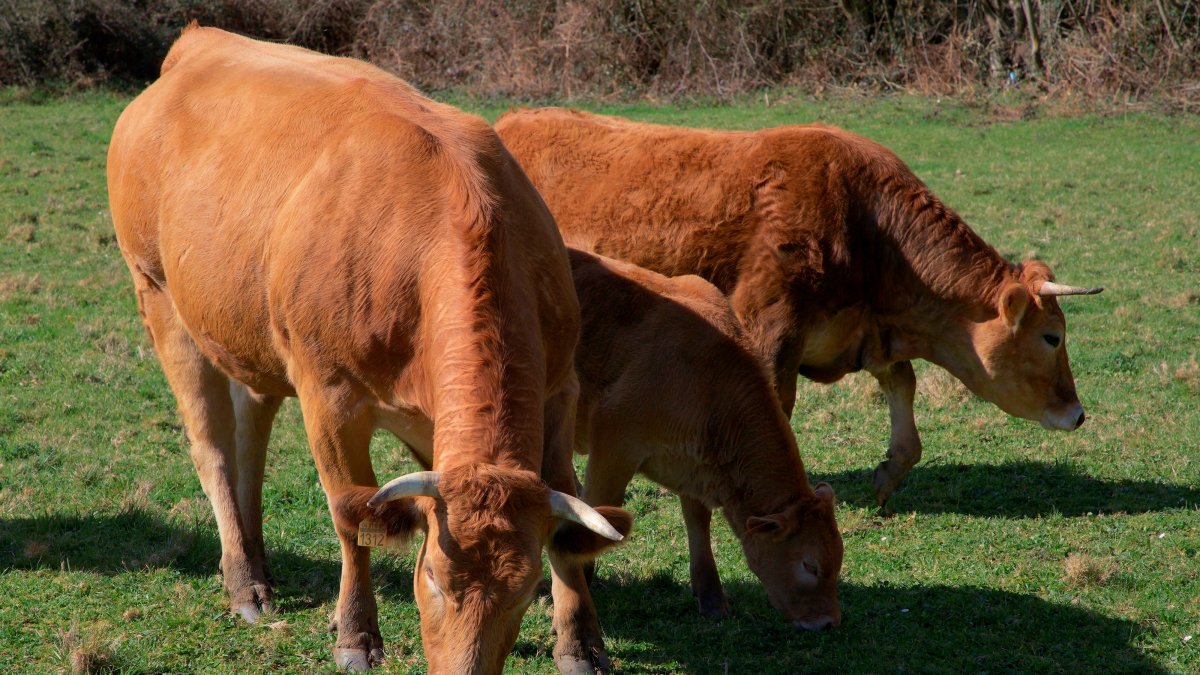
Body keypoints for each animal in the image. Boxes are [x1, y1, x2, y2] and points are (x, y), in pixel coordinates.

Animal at [107, 27, 631, 674]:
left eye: (522, 587)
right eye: (430, 578)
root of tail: (201, 41)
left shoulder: (558, 390)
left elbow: (568, 515)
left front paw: (580, 641)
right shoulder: (330, 396)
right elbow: (348, 514)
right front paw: (355, 632)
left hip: (247, 330)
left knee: (251, 434)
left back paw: (259, 565)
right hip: (159, 296)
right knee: (213, 449)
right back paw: (242, 581)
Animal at [496, 108, 1102, 506]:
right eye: (1052, 337)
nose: (1077, 413)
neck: (871, 226)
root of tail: (512, 121)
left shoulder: (864, 331)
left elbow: (902, 386)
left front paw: (888, 473)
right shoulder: (770, 327)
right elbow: (777, 405)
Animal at [569, 249, 843, 628]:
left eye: (839, 560)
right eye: (810, 565)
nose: (830, 621)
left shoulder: (693, 463)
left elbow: (698, 522)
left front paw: (712, 597)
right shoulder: (614, 443)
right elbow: (597, 513)